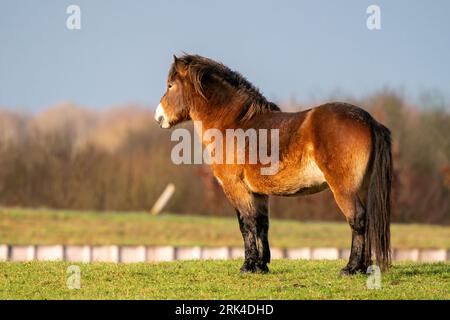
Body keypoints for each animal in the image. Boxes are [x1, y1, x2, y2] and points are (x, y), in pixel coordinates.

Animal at [156, 55, 390, 276]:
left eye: (170, 85)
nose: (159, 117)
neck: (235, 124)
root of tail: (369, 120)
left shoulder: (236, 188)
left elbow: (246, 224)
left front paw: (248, 265)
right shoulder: (259, 193)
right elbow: (261, 225)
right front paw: (261, 265)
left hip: (344, 190)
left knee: (357, 219)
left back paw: (350, 268)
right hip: (362, 188)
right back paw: (362, 267)